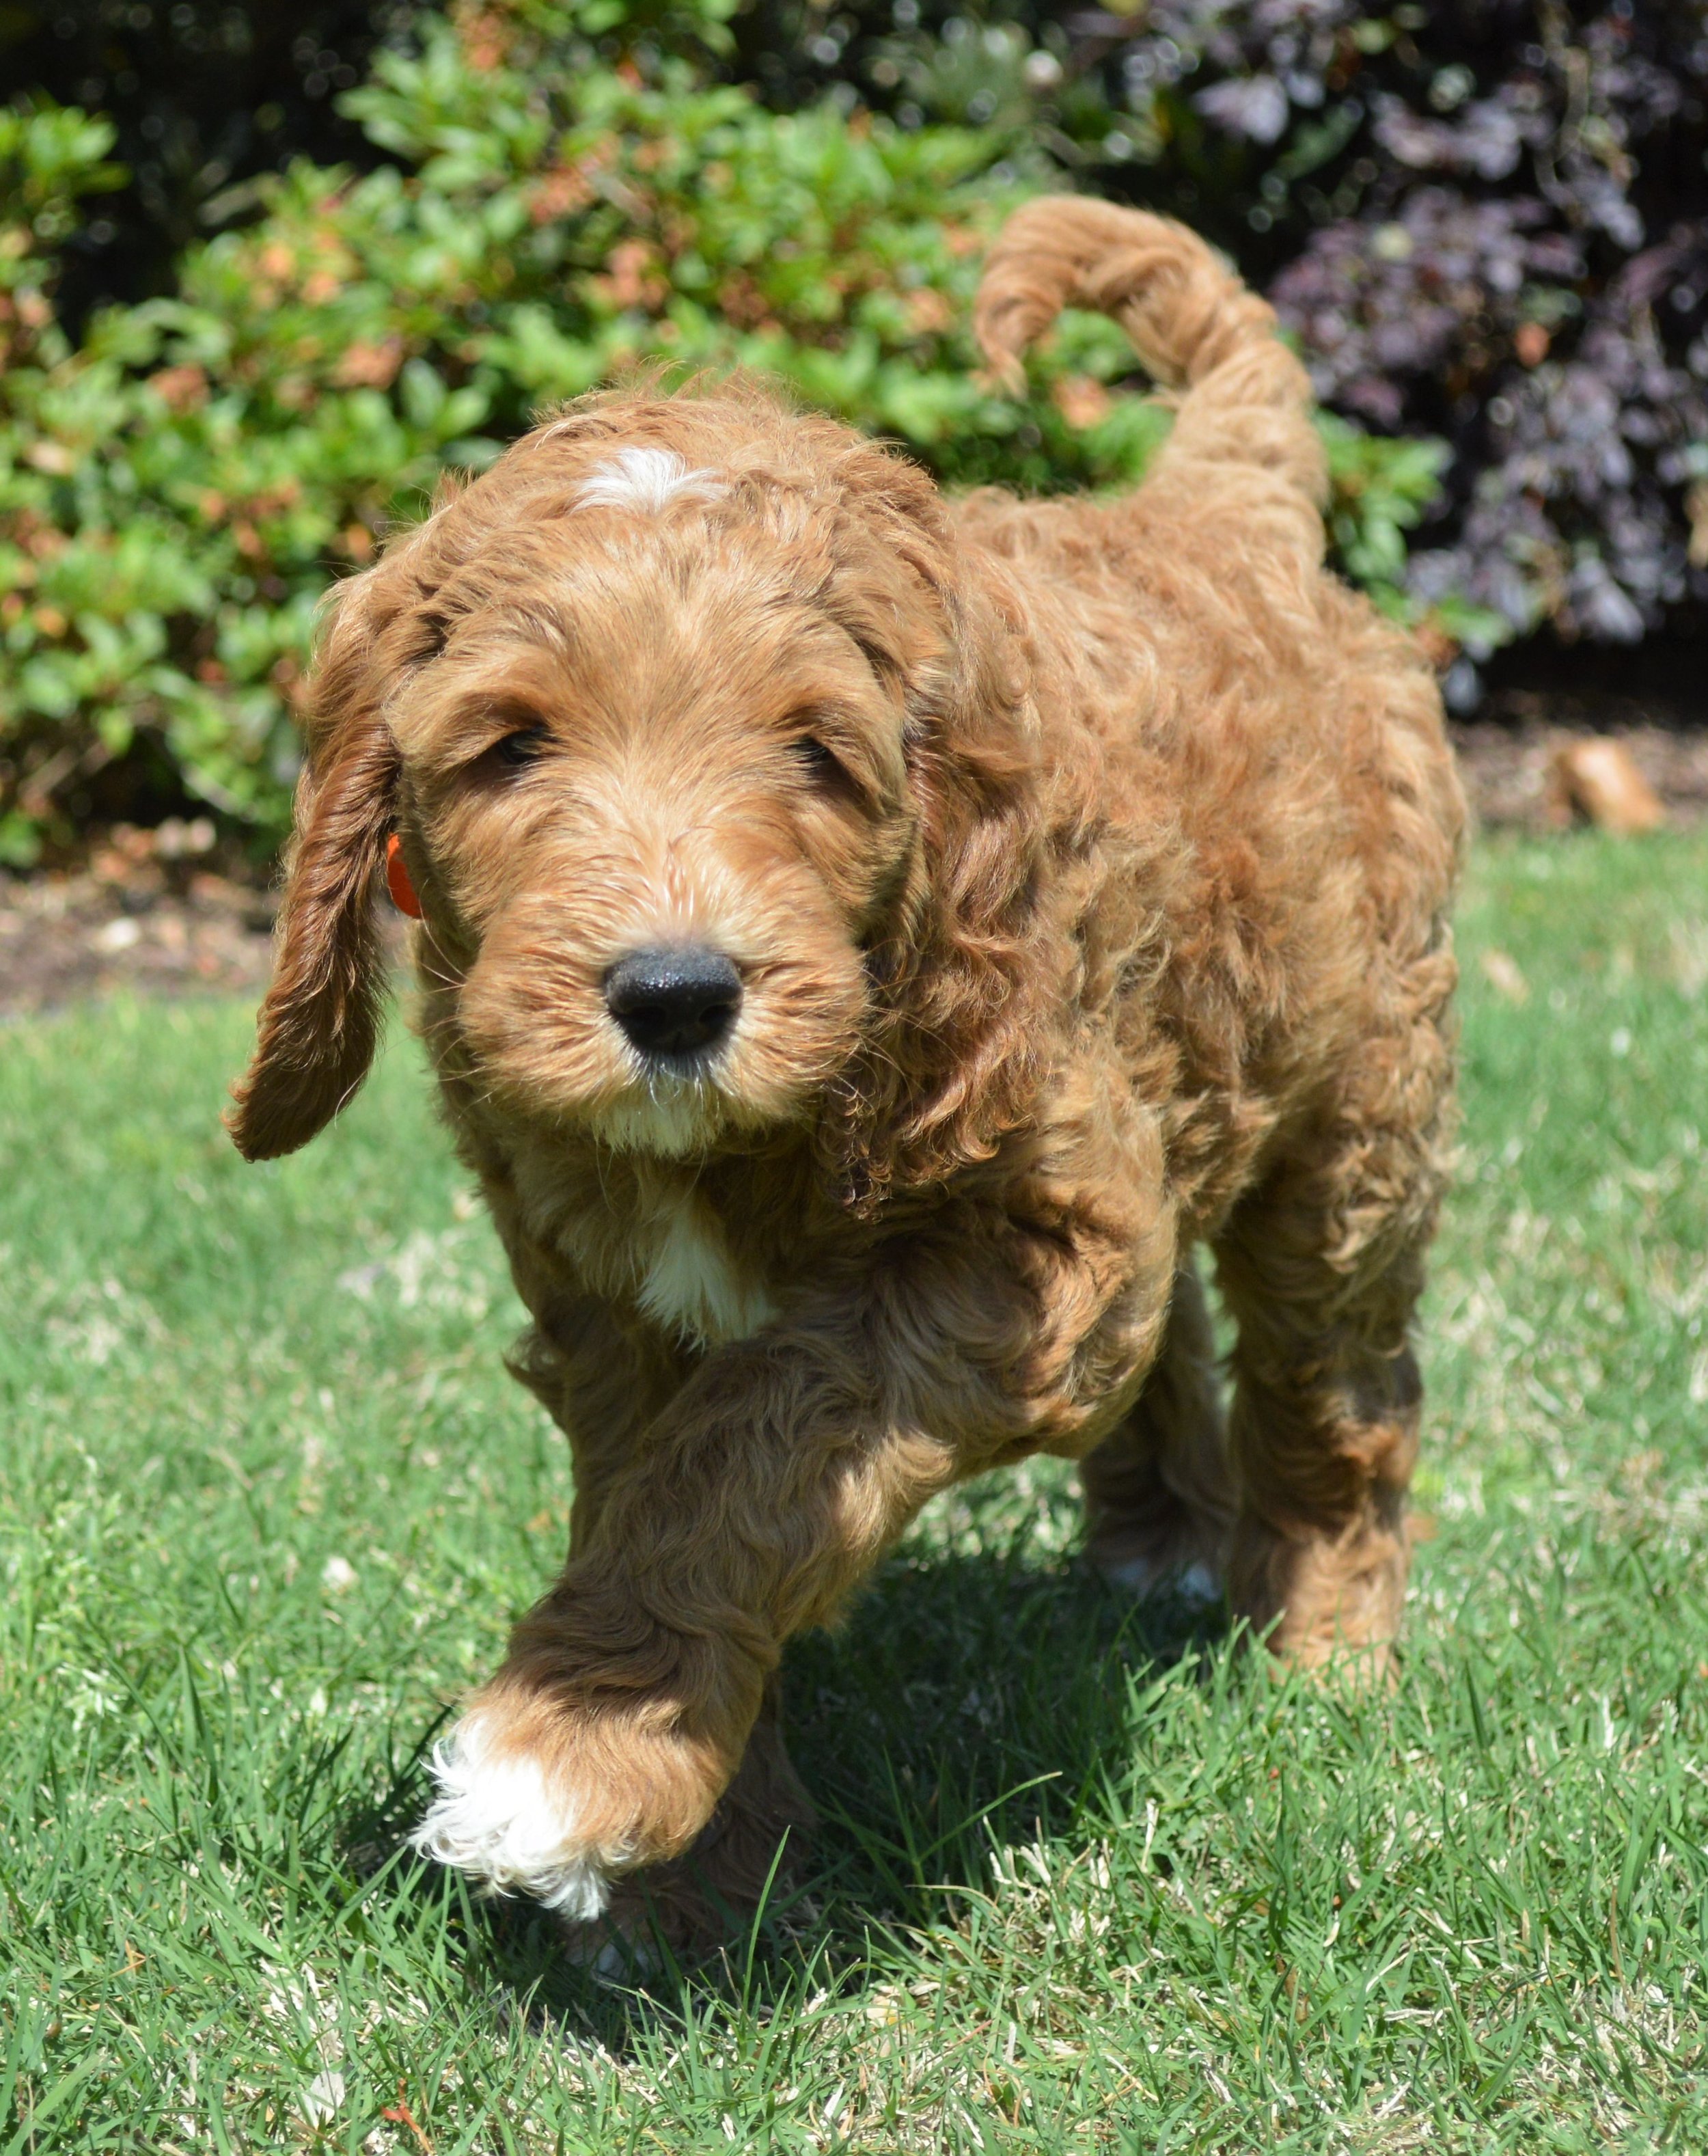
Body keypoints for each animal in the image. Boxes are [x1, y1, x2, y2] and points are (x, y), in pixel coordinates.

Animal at [230, 198, 1466, 1923]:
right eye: (511, 744)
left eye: (817, 751)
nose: (675, 996)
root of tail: (1215, 507)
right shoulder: (600, 1300)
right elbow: (655, 1484)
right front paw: (703, 1856)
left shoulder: (1036, 1240)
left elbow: (767, 1436)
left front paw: (571, 1754)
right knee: (1186, 1338)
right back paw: (1160, 1544)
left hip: (1356, 1112)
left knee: (1335, 1378)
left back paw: (1325, 1655)